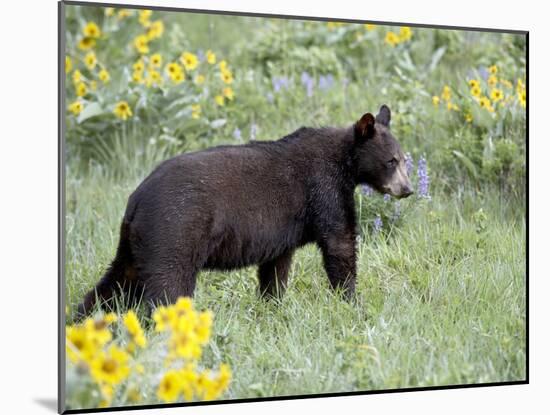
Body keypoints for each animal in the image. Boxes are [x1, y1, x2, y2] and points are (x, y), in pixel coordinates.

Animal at [77, 105, 414, 318]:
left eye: (403, 159)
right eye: (391, 161)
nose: (407, 189)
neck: (345, 162)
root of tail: (136, 200)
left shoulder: (283, 230)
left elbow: (276, 267)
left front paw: (271, 304)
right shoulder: (324, 189)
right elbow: (339, 242)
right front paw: (351, 300)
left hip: (136, 242)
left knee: (116, 281)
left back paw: (84, 320)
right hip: (174, 231)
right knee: (168, 287)